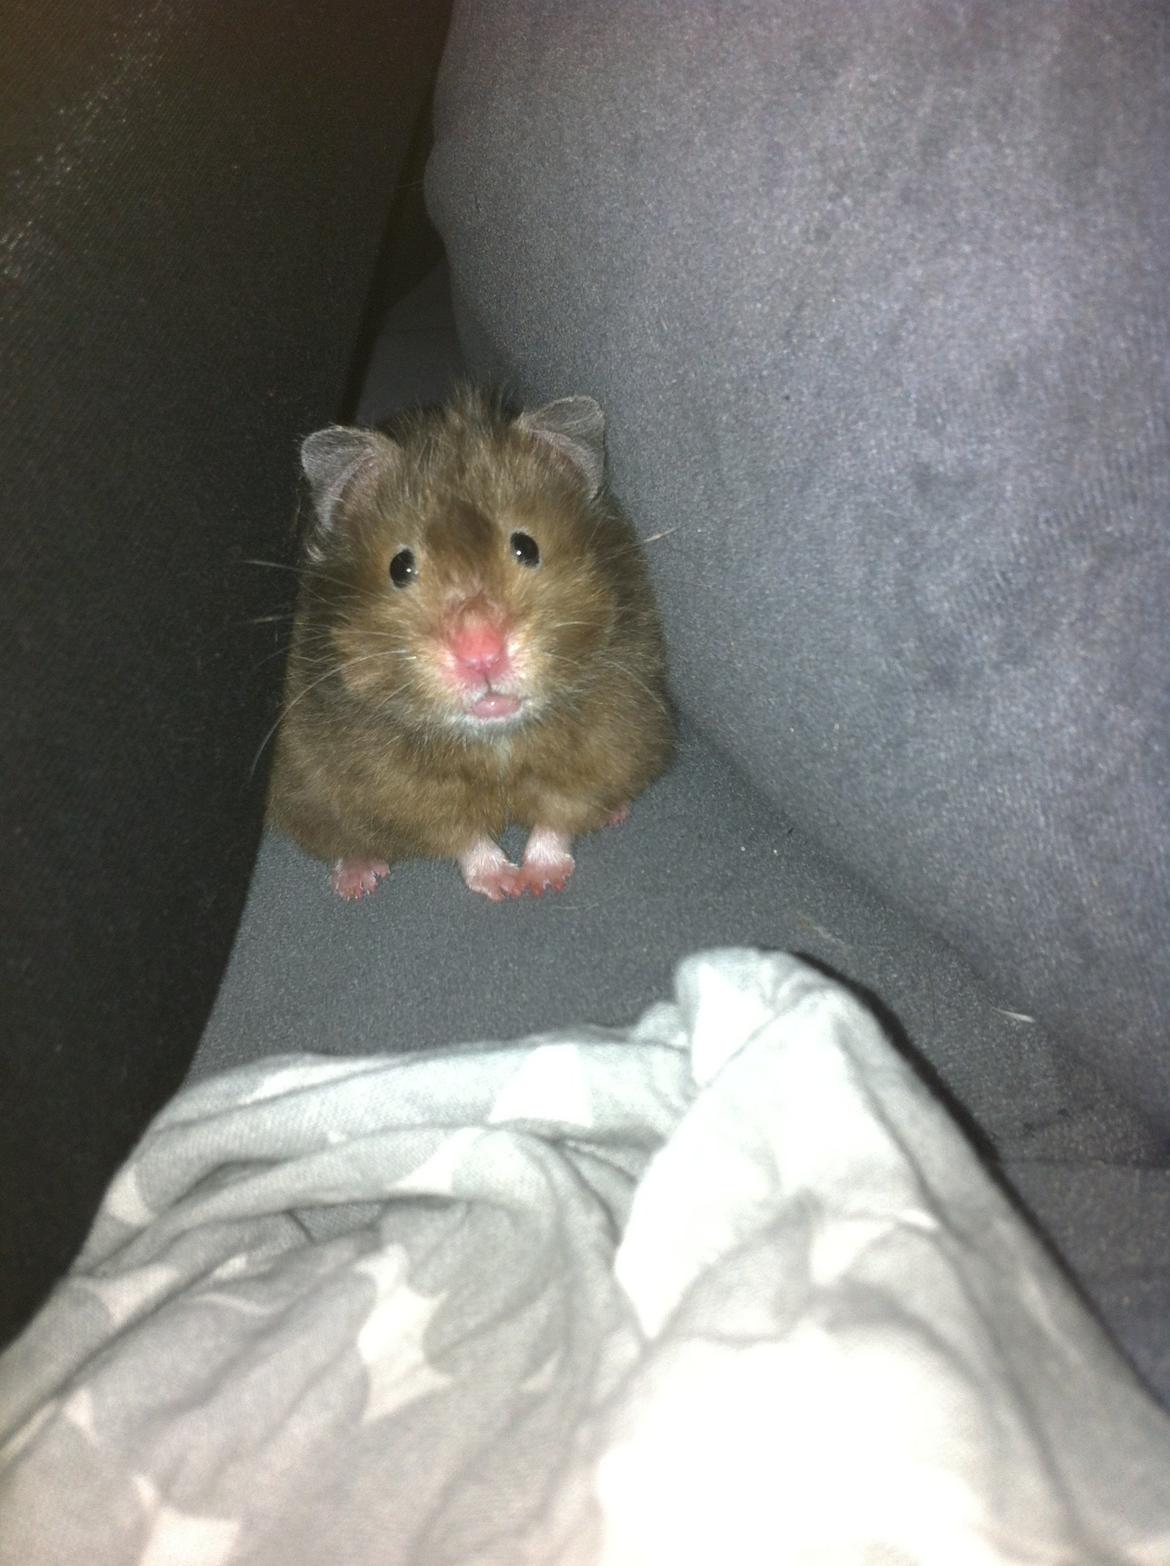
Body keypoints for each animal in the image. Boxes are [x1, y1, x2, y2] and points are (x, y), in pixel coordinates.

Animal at [267, 386, 674, 901]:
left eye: (526, 547)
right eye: (400, 566)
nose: (481, 654)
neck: (495, 740)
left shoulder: (608, 743)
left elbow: (557, 818)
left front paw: (540, 881)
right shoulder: (406, 792)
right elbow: (465, 836)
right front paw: (503, 886)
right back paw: (359, 880)